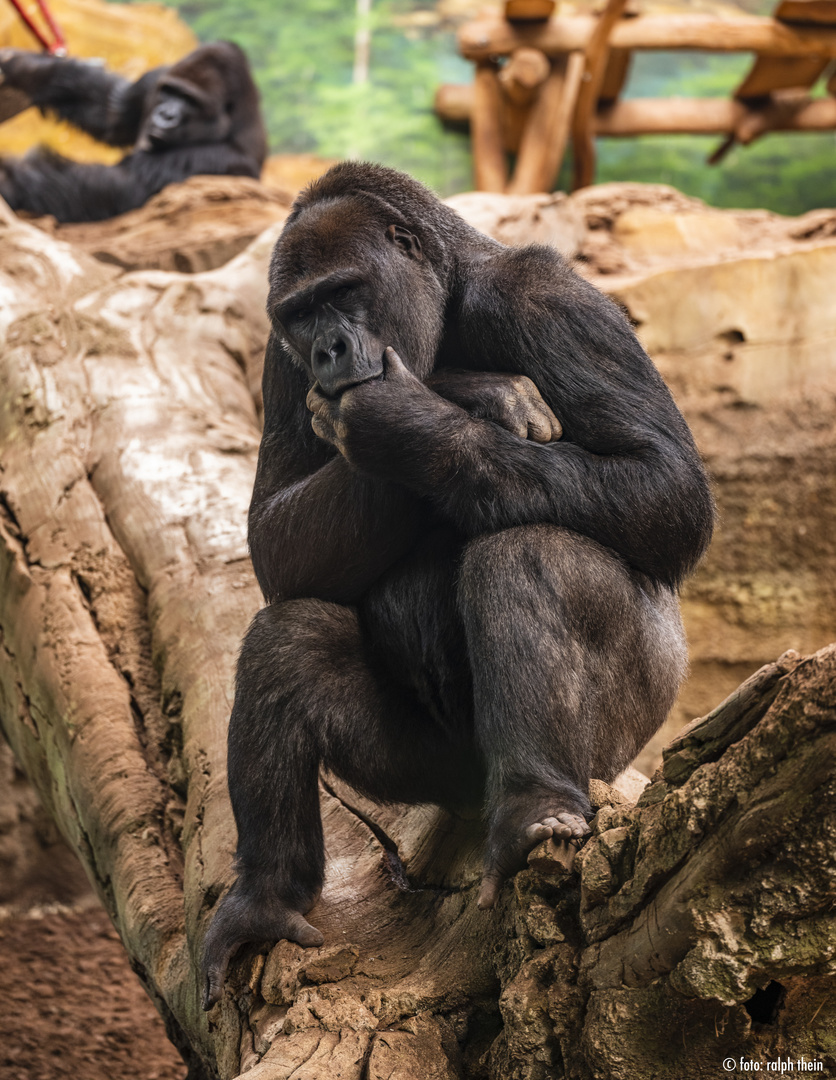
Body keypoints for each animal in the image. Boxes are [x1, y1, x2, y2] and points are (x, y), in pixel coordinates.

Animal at [0, 40, 265, 221]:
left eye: (191, 101)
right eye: (170, 91)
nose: (165, 115)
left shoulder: (217, 158)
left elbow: (119, 184)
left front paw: (8, 181)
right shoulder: (154, 81)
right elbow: (111, 112)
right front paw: (23, 68)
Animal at [199, 162, 717, 1010]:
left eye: (345, 291)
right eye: (302, 314)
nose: (329, 350)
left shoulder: (546, 299)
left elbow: (663, 485)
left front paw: (410, 420)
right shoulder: (281, 356)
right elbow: (274, 543)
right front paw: (470, 391)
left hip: (619, 744)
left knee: (529, 551)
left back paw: (537, 802)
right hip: (431, 773)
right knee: (289, 641)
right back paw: (267, 896)